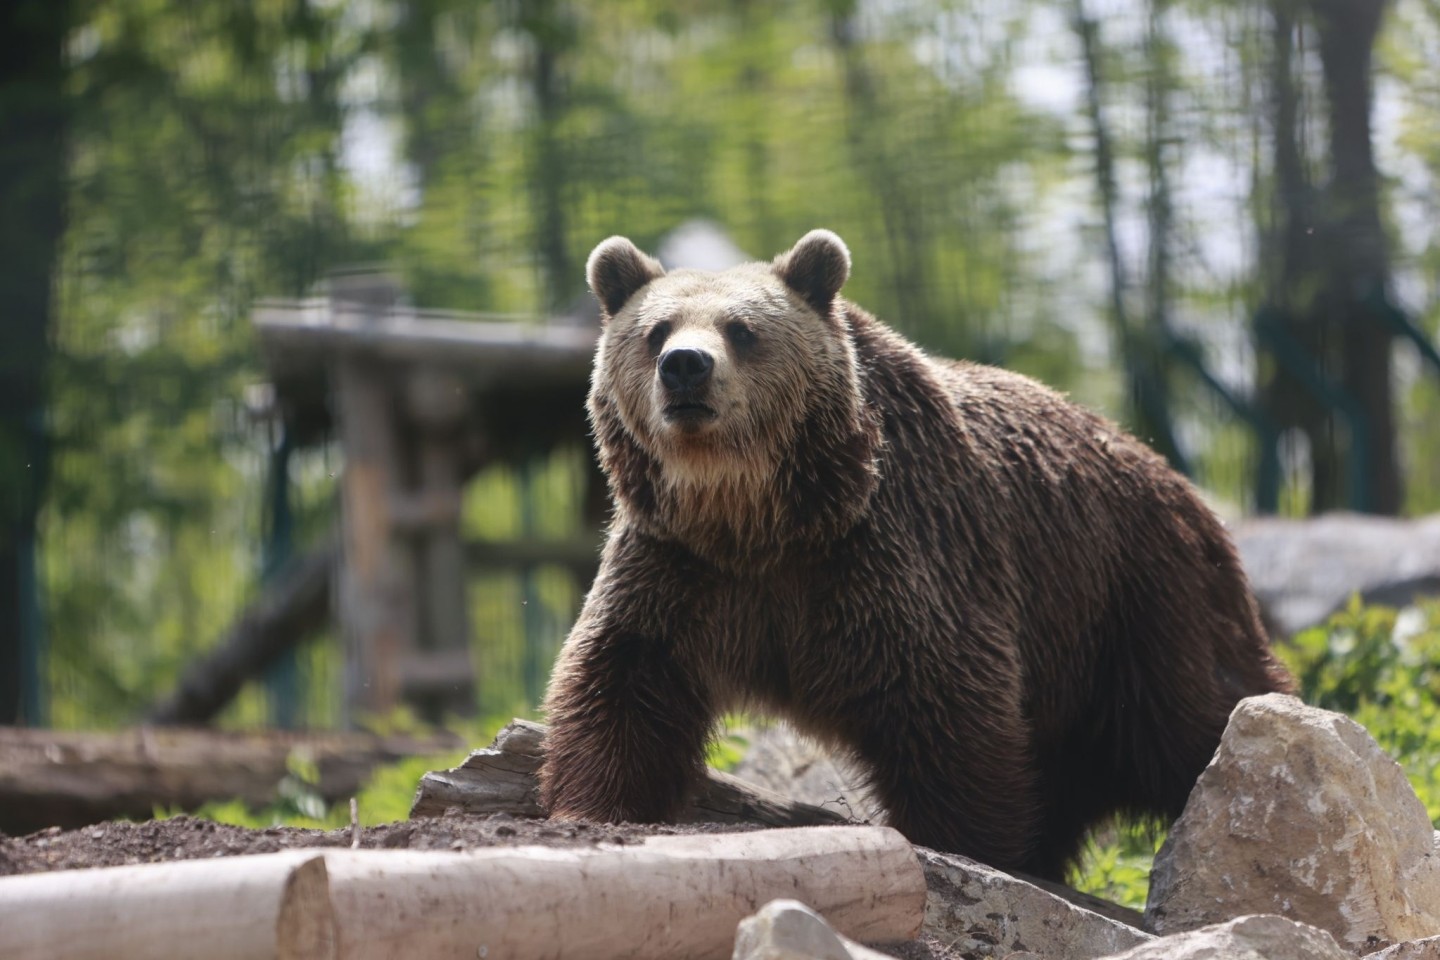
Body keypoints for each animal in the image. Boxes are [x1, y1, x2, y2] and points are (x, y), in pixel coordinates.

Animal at [541, 228, 1296, 880]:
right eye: (655, 331)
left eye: (742, 329)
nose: (686, 368)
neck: (761, 519)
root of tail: (1181, 486)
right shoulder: (680, 567)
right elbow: (623, 679)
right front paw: (595, 803)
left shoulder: (895, 552)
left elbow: (944, 700)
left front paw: (970, 845)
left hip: (1137, 603)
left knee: (1198, 712)